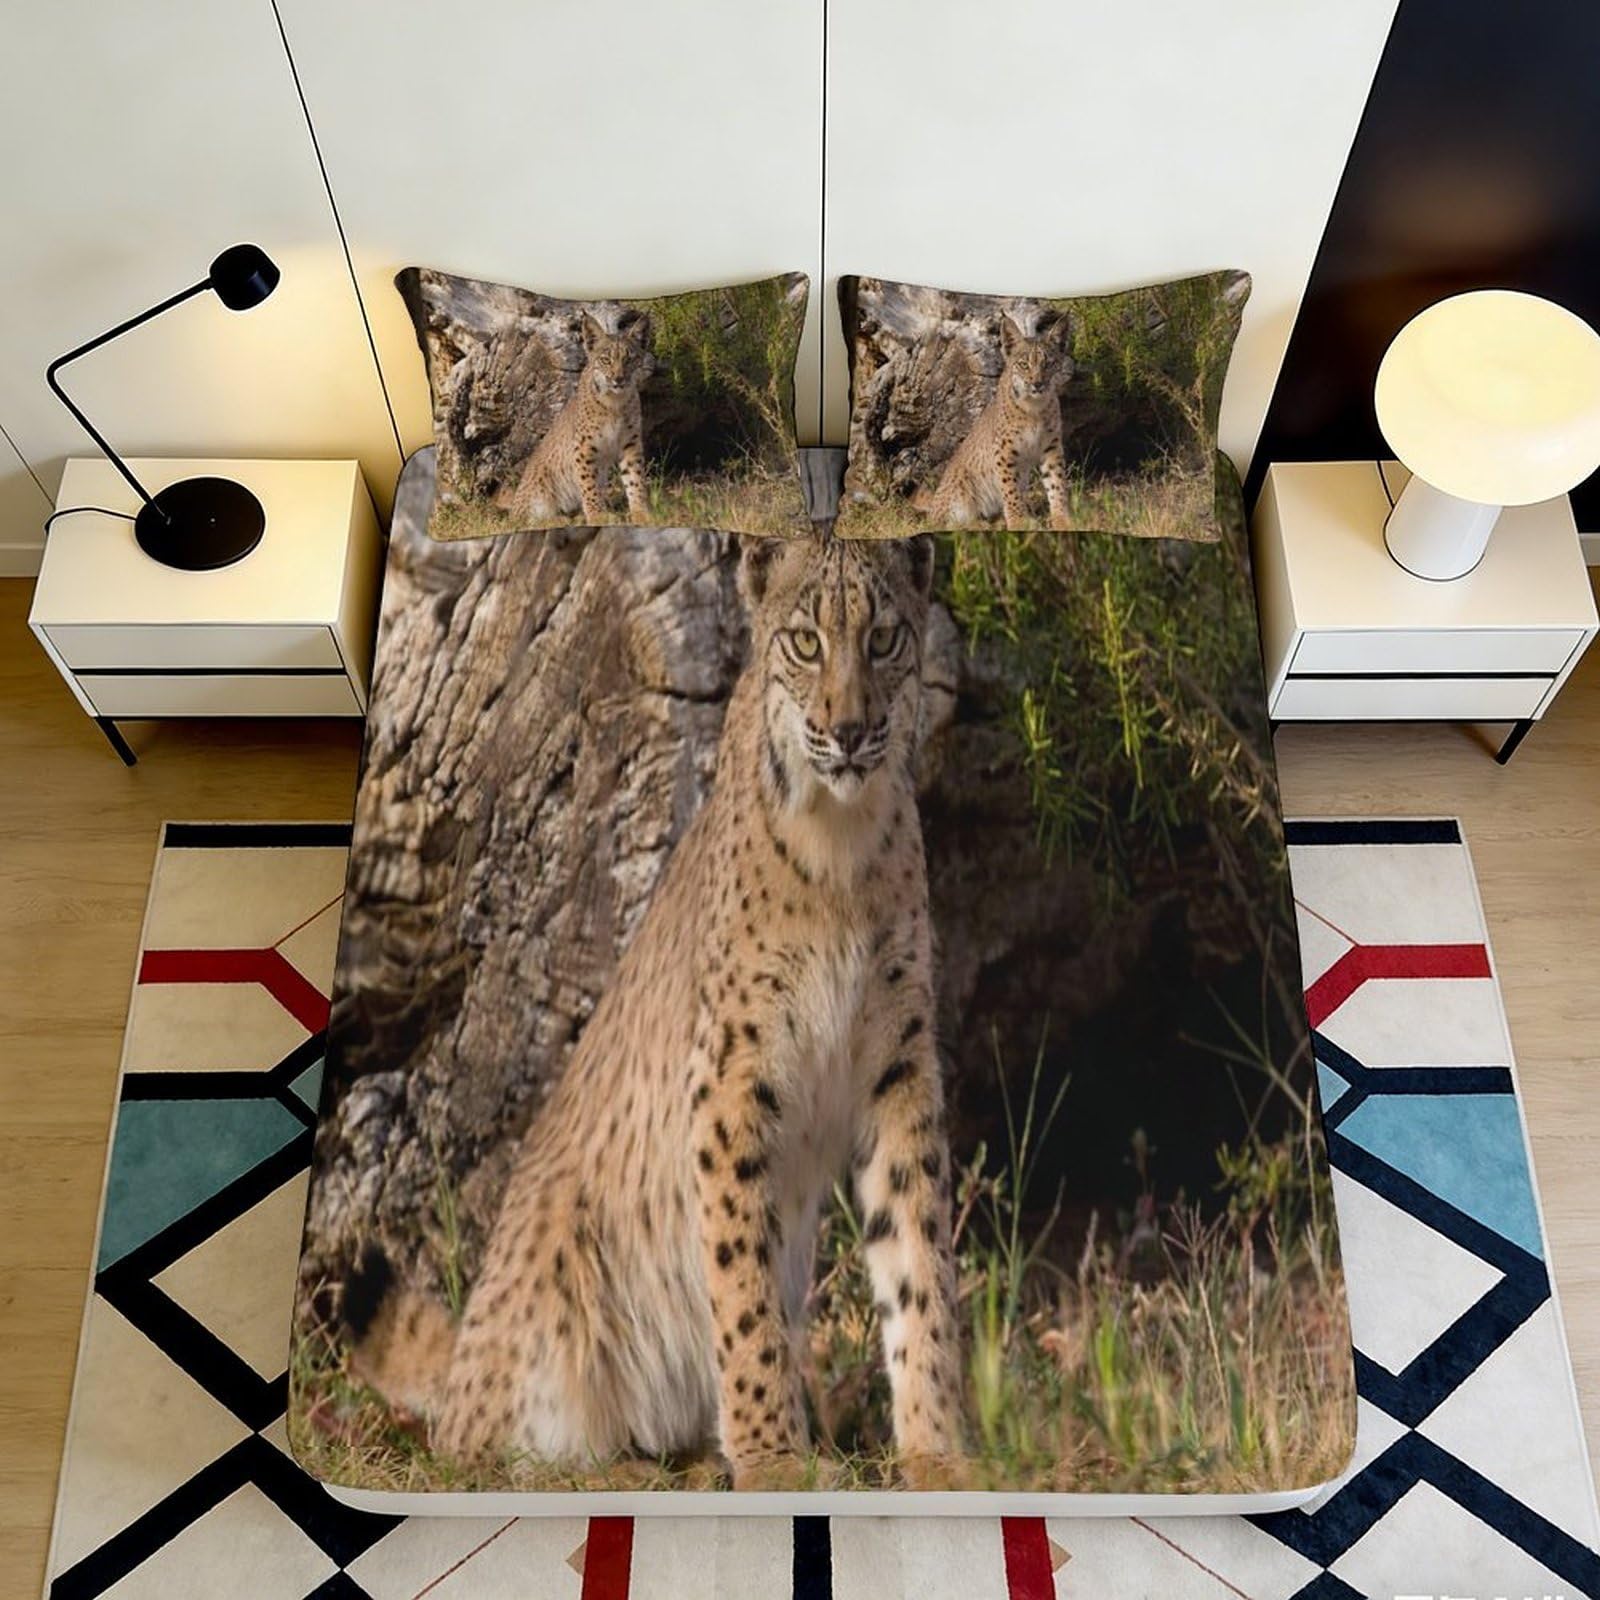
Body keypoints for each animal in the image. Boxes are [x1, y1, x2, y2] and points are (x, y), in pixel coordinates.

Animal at [343, 527, 966, 1491]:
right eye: (805, 642)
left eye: (885, 638)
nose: (852, 730)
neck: (842, 834)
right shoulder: (731, 1081)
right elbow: (742, 1289)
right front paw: (773, 1460)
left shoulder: (897, 1067)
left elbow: (918, 1261)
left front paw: (939, 1454)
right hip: (556, 1263)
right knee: (486, 1447)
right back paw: (642, 1469)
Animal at [499, 310, 654, 525]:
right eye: (606, 360)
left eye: (629, 359)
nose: (618, 379)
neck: (615, 400)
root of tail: (513, 510)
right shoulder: (584, 446)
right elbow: (588, 484)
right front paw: (597, 516)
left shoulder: (630, 442)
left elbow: (635, 478)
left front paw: (641, 513)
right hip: (538, 486)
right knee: (526, 521)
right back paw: (560, 520)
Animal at [915, 310, 1075, 531]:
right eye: (1024, 365)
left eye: (1049, 364)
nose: (1038, 384)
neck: (1034, 405)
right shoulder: (1004, 450)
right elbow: (1010, 489)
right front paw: (1018, 522)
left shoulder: (1050, 447)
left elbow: (1056, 483)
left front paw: (1062, 519)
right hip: (959, 487)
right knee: (946, 523)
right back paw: (982, 525)